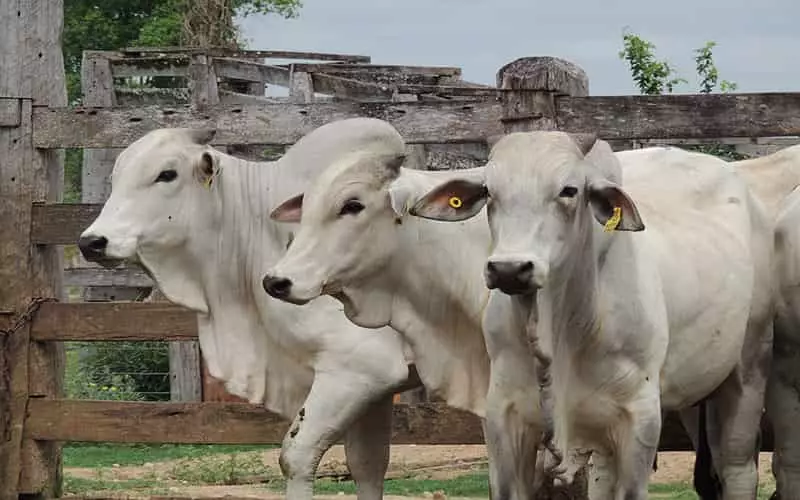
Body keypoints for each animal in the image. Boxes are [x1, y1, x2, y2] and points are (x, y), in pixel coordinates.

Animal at [76, 120, 424, 500]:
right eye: (116, 176)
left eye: (166, 174)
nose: (92, 242)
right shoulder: (378, 388)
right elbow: (367, 466)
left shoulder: (361, 368)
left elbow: (296, 457)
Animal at [410, 133, 772, 500]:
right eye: (488, 191)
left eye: (569, 190)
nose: (509, 269)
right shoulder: (504, 414)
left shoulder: (640, 416)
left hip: (748, 369)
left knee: (738, 469)